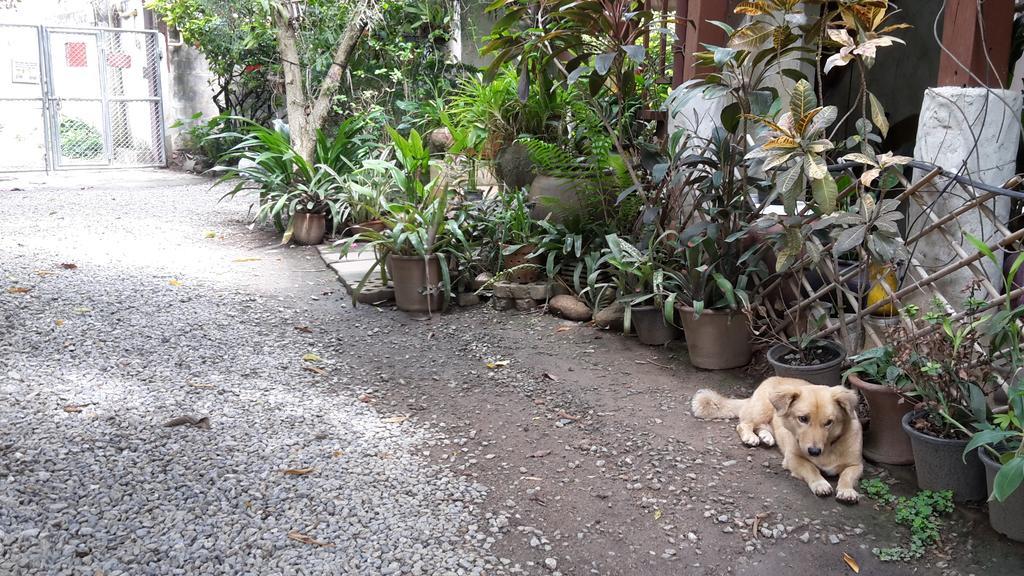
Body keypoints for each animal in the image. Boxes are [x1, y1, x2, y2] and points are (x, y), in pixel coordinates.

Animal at [688, 375, 864, 500]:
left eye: (829, 422)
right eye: (803, 419)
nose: (814, 451)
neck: (829, 447)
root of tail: (773, 378)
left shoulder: (857, 465)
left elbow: (847, 475)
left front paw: (847, 490)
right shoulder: (793, 458)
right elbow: (811, 468)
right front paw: (820, 483)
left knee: (762, 427)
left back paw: (766, 437)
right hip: (762, 410)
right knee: (744, 424)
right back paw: (750, 437)